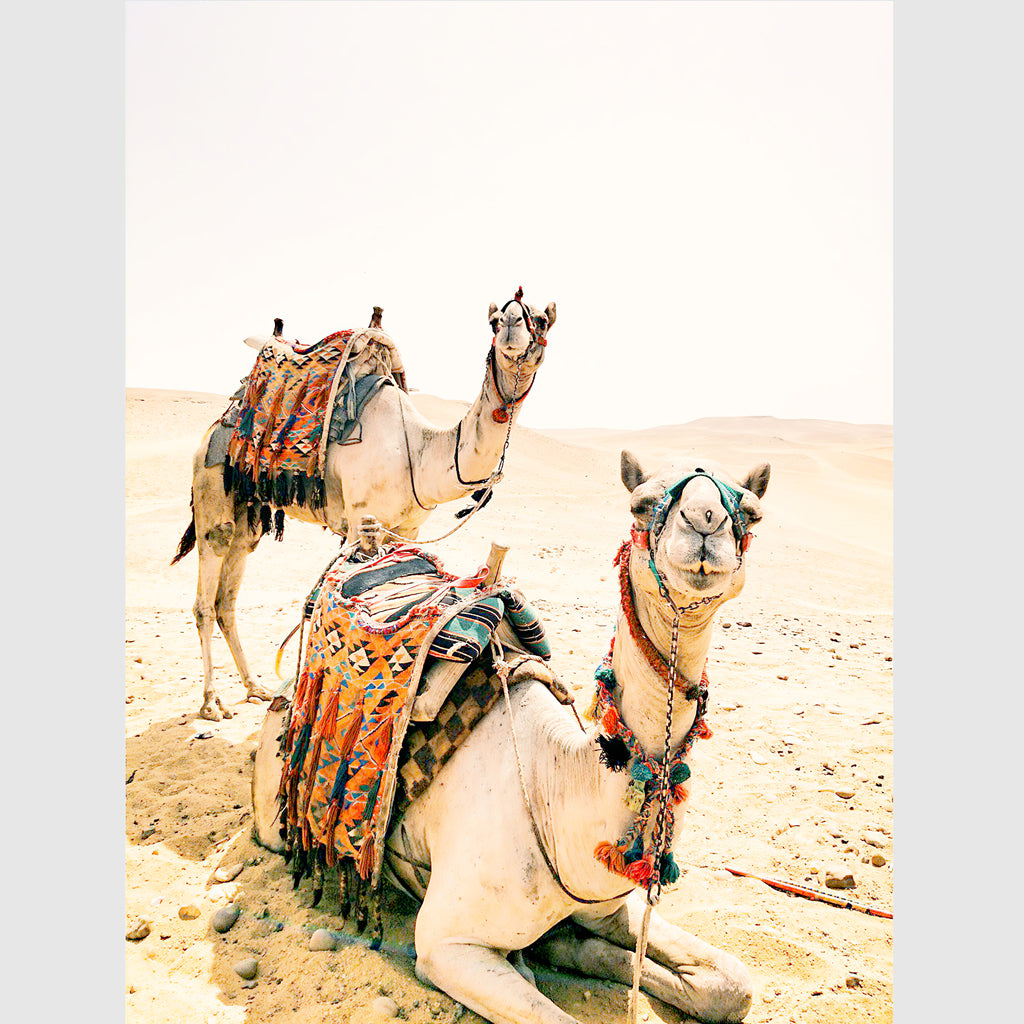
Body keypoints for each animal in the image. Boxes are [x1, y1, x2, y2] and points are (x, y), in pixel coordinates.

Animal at [172, 293, 555, 721]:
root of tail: (221, 422)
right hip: (211, 484)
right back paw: (211, 703)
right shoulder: (359, 520)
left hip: (248, 508)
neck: (420, 453)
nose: (512, 325)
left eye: (541, 320)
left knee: (229, 592)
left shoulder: (407, 529)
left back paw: (254, 686)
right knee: (208, 589)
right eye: (494, 321)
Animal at [252, 450, 770, 1024]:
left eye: (751, 511)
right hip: (275, 815)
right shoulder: (447, 944)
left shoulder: (605, 905)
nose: (704, 522)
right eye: (641, 504)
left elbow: (732, 982)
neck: (555, 789)